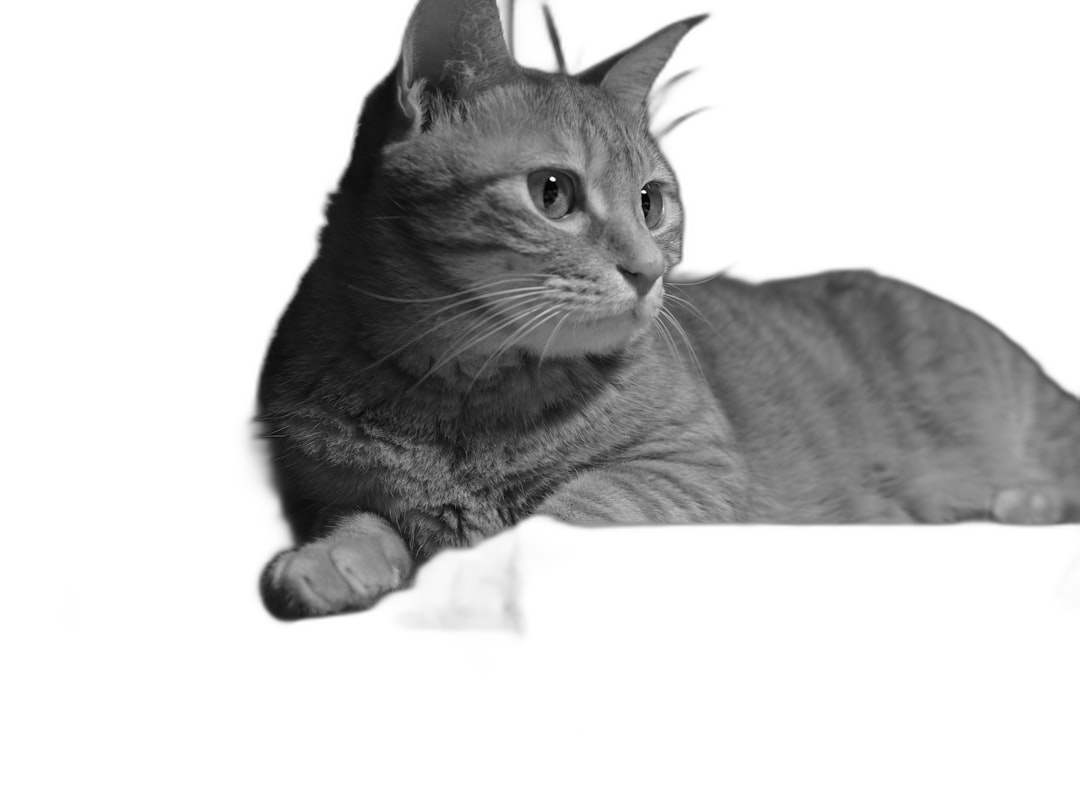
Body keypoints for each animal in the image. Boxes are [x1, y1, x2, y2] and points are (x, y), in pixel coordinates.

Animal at [254, 0, 1080, 617]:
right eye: (552, 193)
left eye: (651, 202)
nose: (649, 273)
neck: (457, 402)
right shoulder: (322, 492)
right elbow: (363, 521)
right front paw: (333, 562)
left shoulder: (686, 467)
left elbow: (553, 517)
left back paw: (1023, 499)